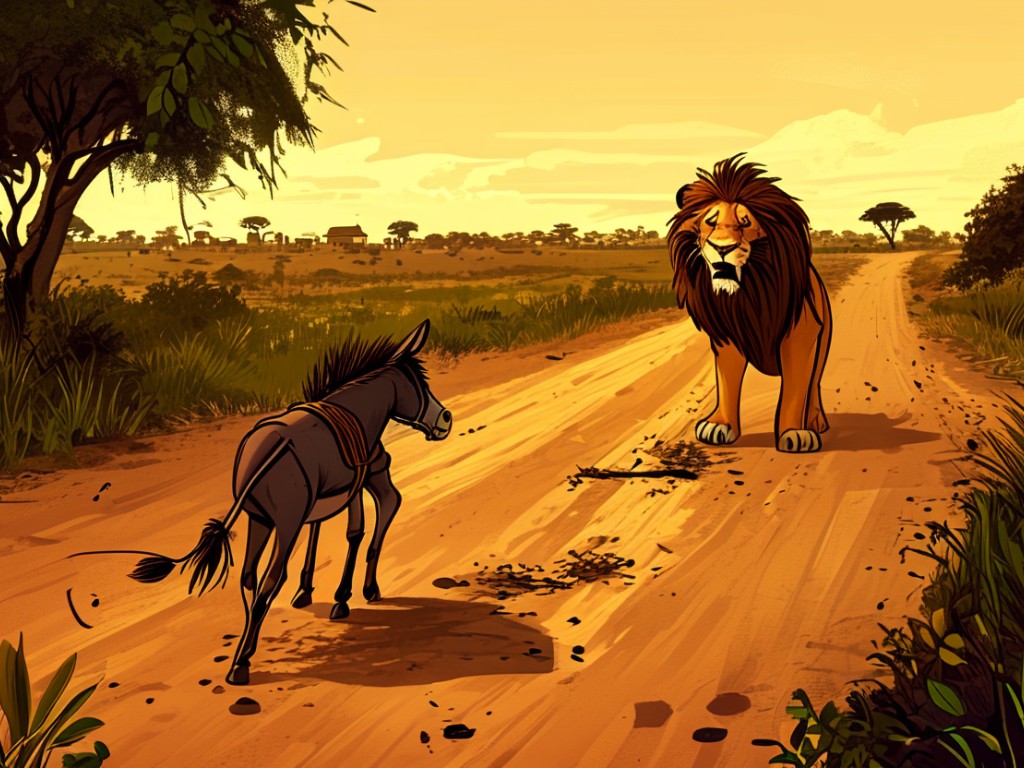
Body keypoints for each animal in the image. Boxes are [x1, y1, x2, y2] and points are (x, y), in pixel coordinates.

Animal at [667, 154, 832, 453]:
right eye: (711, 221)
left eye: (745, 223)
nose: (722, 248)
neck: (748, 291)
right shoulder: (727, 334)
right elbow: (727, 381)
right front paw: (720, 424)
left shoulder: (801, 333)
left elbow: (796, 387)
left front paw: (795, 432)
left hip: (823, 338)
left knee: (814, 383)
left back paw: (815, 421)